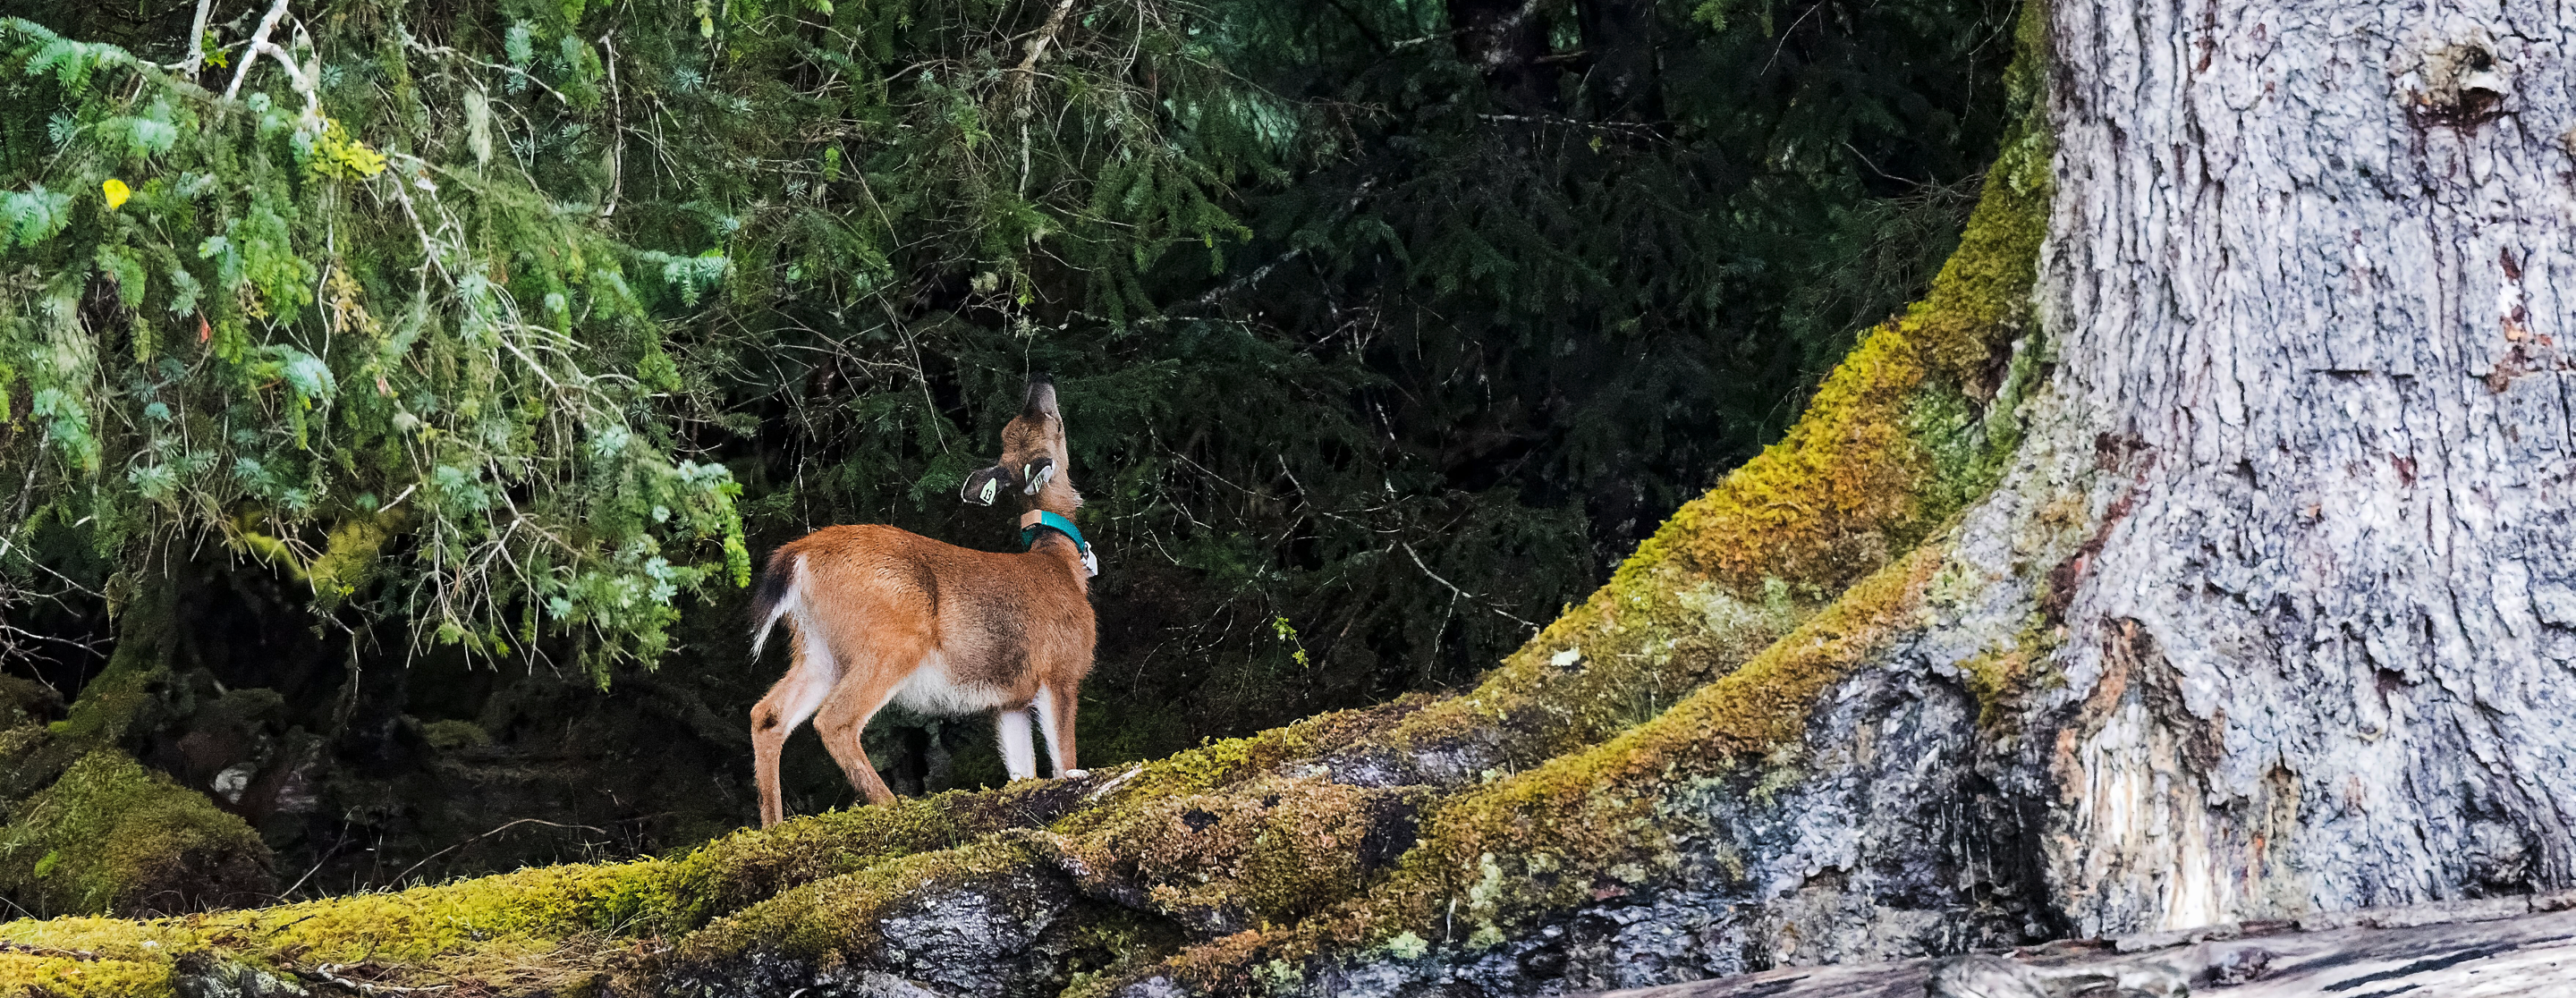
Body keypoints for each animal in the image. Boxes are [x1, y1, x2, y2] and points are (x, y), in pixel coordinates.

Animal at [745, 374, 1097, 828]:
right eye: (1056, 425)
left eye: (1020, 426)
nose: (1038, 384)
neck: (1059, 562)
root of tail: (797, 555)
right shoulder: (1061, 669)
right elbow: (1064, 763)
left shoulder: (1009, 700)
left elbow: (1022, 772)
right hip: (893, 640)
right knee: (835, 720)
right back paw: (892, 805)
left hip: (819, 650)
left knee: (767, 715)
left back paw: (772, 827)